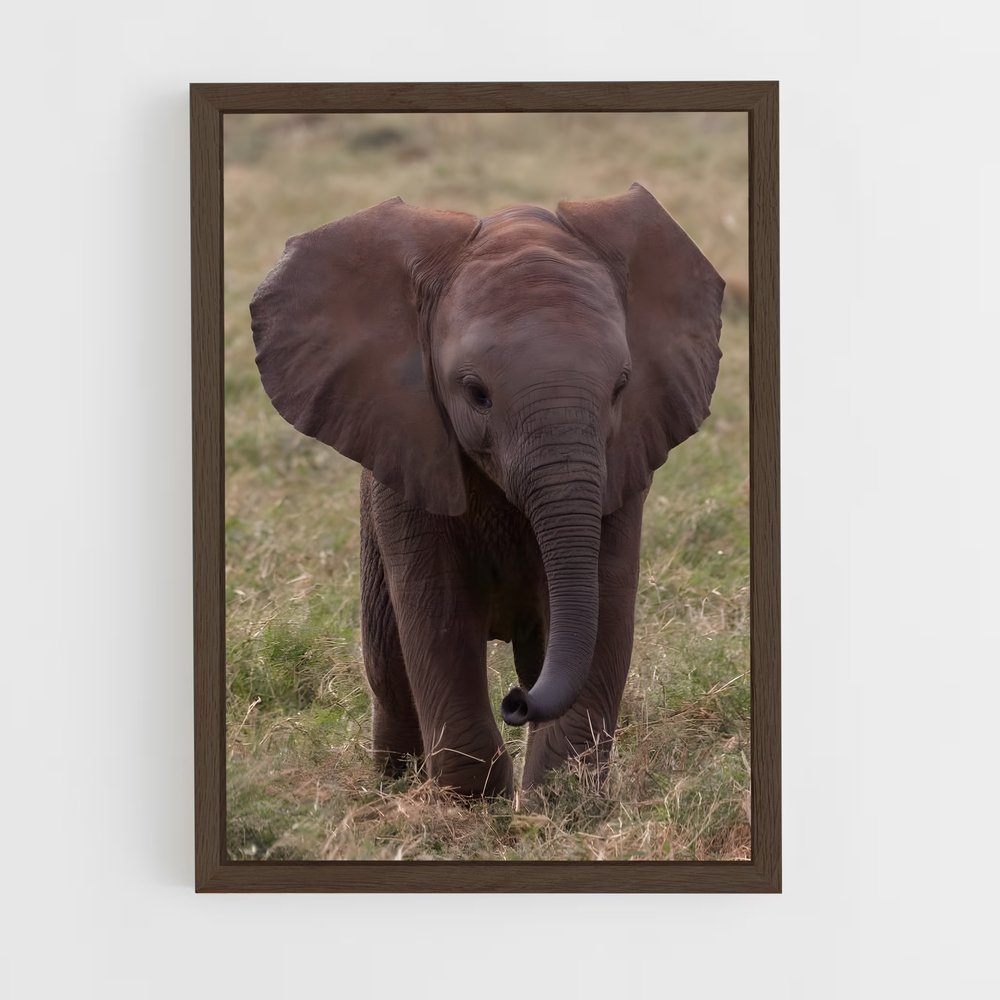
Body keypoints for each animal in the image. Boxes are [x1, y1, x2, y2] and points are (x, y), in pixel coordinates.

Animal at [250, 183, 724, 798]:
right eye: (476, 394)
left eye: (621, 387)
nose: (516, 703)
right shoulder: (409, 456)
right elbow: (439, 614)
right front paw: (473, 804)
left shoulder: (623, 463)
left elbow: (605, 604)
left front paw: (560, 803)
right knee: (388, 667)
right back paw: (394, 784)